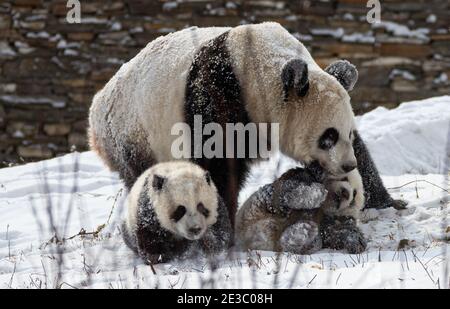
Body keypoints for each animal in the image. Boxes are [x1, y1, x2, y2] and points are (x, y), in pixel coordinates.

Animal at [89, 22, 402, 229]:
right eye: (329, 136)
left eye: (348, 132)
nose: (347, 166)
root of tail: (96, 108)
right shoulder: (216, 98)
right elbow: (216, 163)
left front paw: (385, 202)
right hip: (133, 135)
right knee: (141, 177)